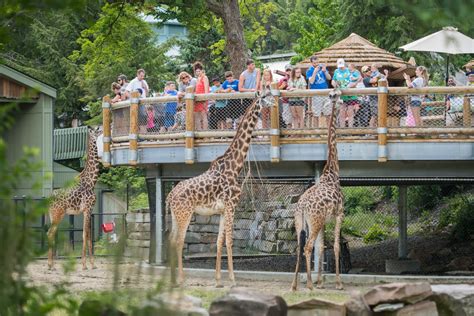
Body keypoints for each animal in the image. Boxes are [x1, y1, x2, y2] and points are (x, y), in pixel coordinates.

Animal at [47, 127, 101, 270]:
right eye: (97, 128)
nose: (103, 129)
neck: (91, 181)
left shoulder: (89, 211)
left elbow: (89, 236)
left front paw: (93, 264)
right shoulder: (87, 209)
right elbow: (85, 234)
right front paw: (84, 265)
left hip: (53, 215)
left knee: (51, 233)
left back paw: (51, 265)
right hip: (58, 214)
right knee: (50, 233)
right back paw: (50, 265)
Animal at [166, 95, 262, 288]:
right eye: (267, 95)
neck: (235, 167)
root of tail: (170, 196)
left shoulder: (223, 210)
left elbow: (219, 241)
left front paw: (218, 280)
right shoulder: (232, 206)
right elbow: (230, 240)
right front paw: (232, 279)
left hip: (175, 214)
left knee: (172, 240)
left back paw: (173, 280)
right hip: (184, 214)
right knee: (179, 241)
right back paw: (181, 279)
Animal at [288, 89, 344, 292]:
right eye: (338, 97)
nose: (343, 101)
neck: (332, 172)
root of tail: (303, 206)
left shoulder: (324, 220)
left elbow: (321, 248)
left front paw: (321, 282)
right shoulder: (340, 213)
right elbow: (335, 246)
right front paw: (337, 283)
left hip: (302, 222)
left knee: (300, 247)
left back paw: (295, 285)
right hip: (315, 221)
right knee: (307, 247)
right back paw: (310, 285)